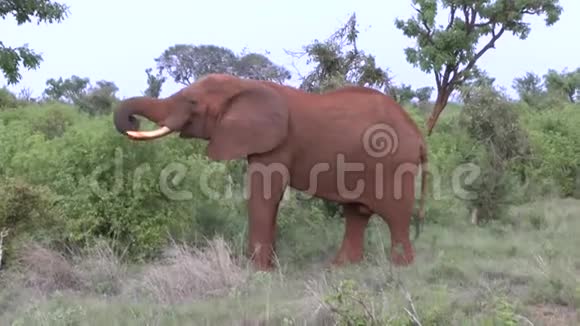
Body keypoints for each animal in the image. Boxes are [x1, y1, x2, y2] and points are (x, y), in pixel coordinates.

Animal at [114, 73, 430, 270]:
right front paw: (269, 266)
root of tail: (418, 135)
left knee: (395, 216)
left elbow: (264, 195)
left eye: (192, 102)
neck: (243, 85)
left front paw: (257, 271)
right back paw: (339, 269)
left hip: (393, 163)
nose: (132, 120)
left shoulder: (278, 142)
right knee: (356, 214)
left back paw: (401, 268)